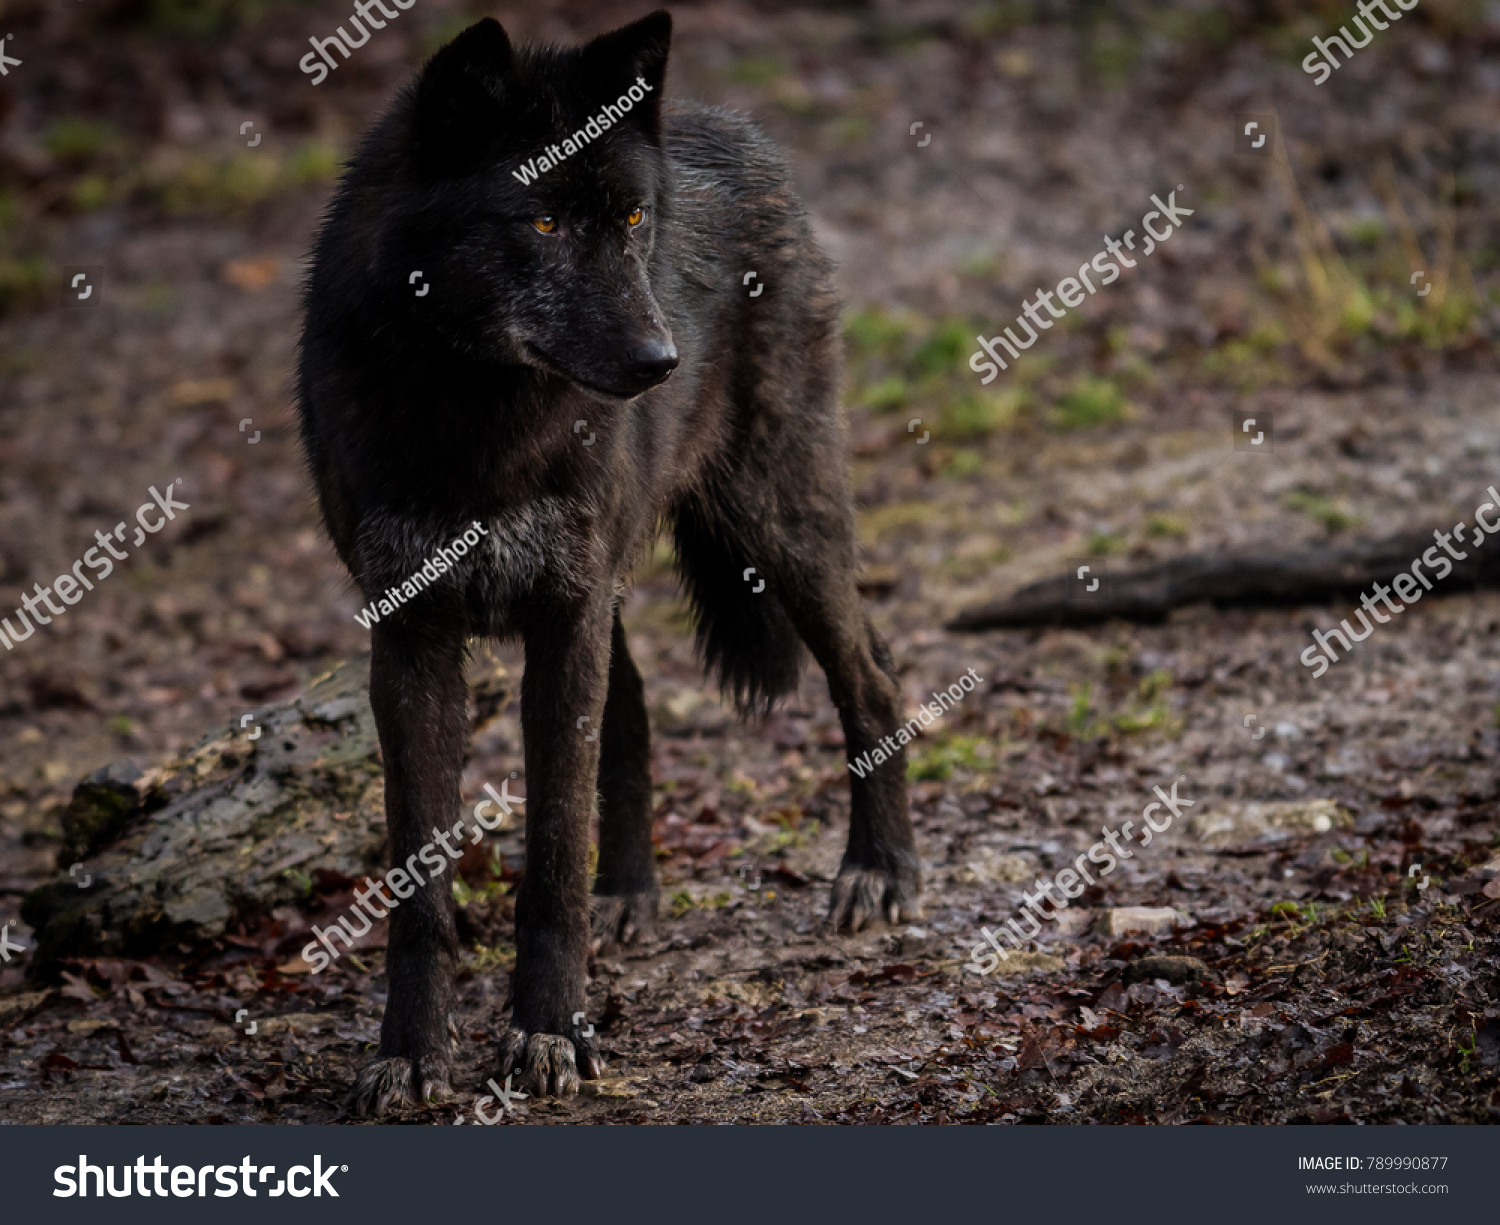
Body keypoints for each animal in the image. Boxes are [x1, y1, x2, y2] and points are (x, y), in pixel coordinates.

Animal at [298, 7, 918, 1109]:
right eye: (542, 225)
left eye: (632, 220)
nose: (660, 362)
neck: (479, 417)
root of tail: (729, 122)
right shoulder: (415, 632)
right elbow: (420, 878)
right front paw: (410, 1051)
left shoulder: (563, 606)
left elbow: (552, 851)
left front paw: (550, 1032)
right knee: (630, 705)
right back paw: (631, 890)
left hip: (774, 523)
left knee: (875, 672)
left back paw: (880, 868)